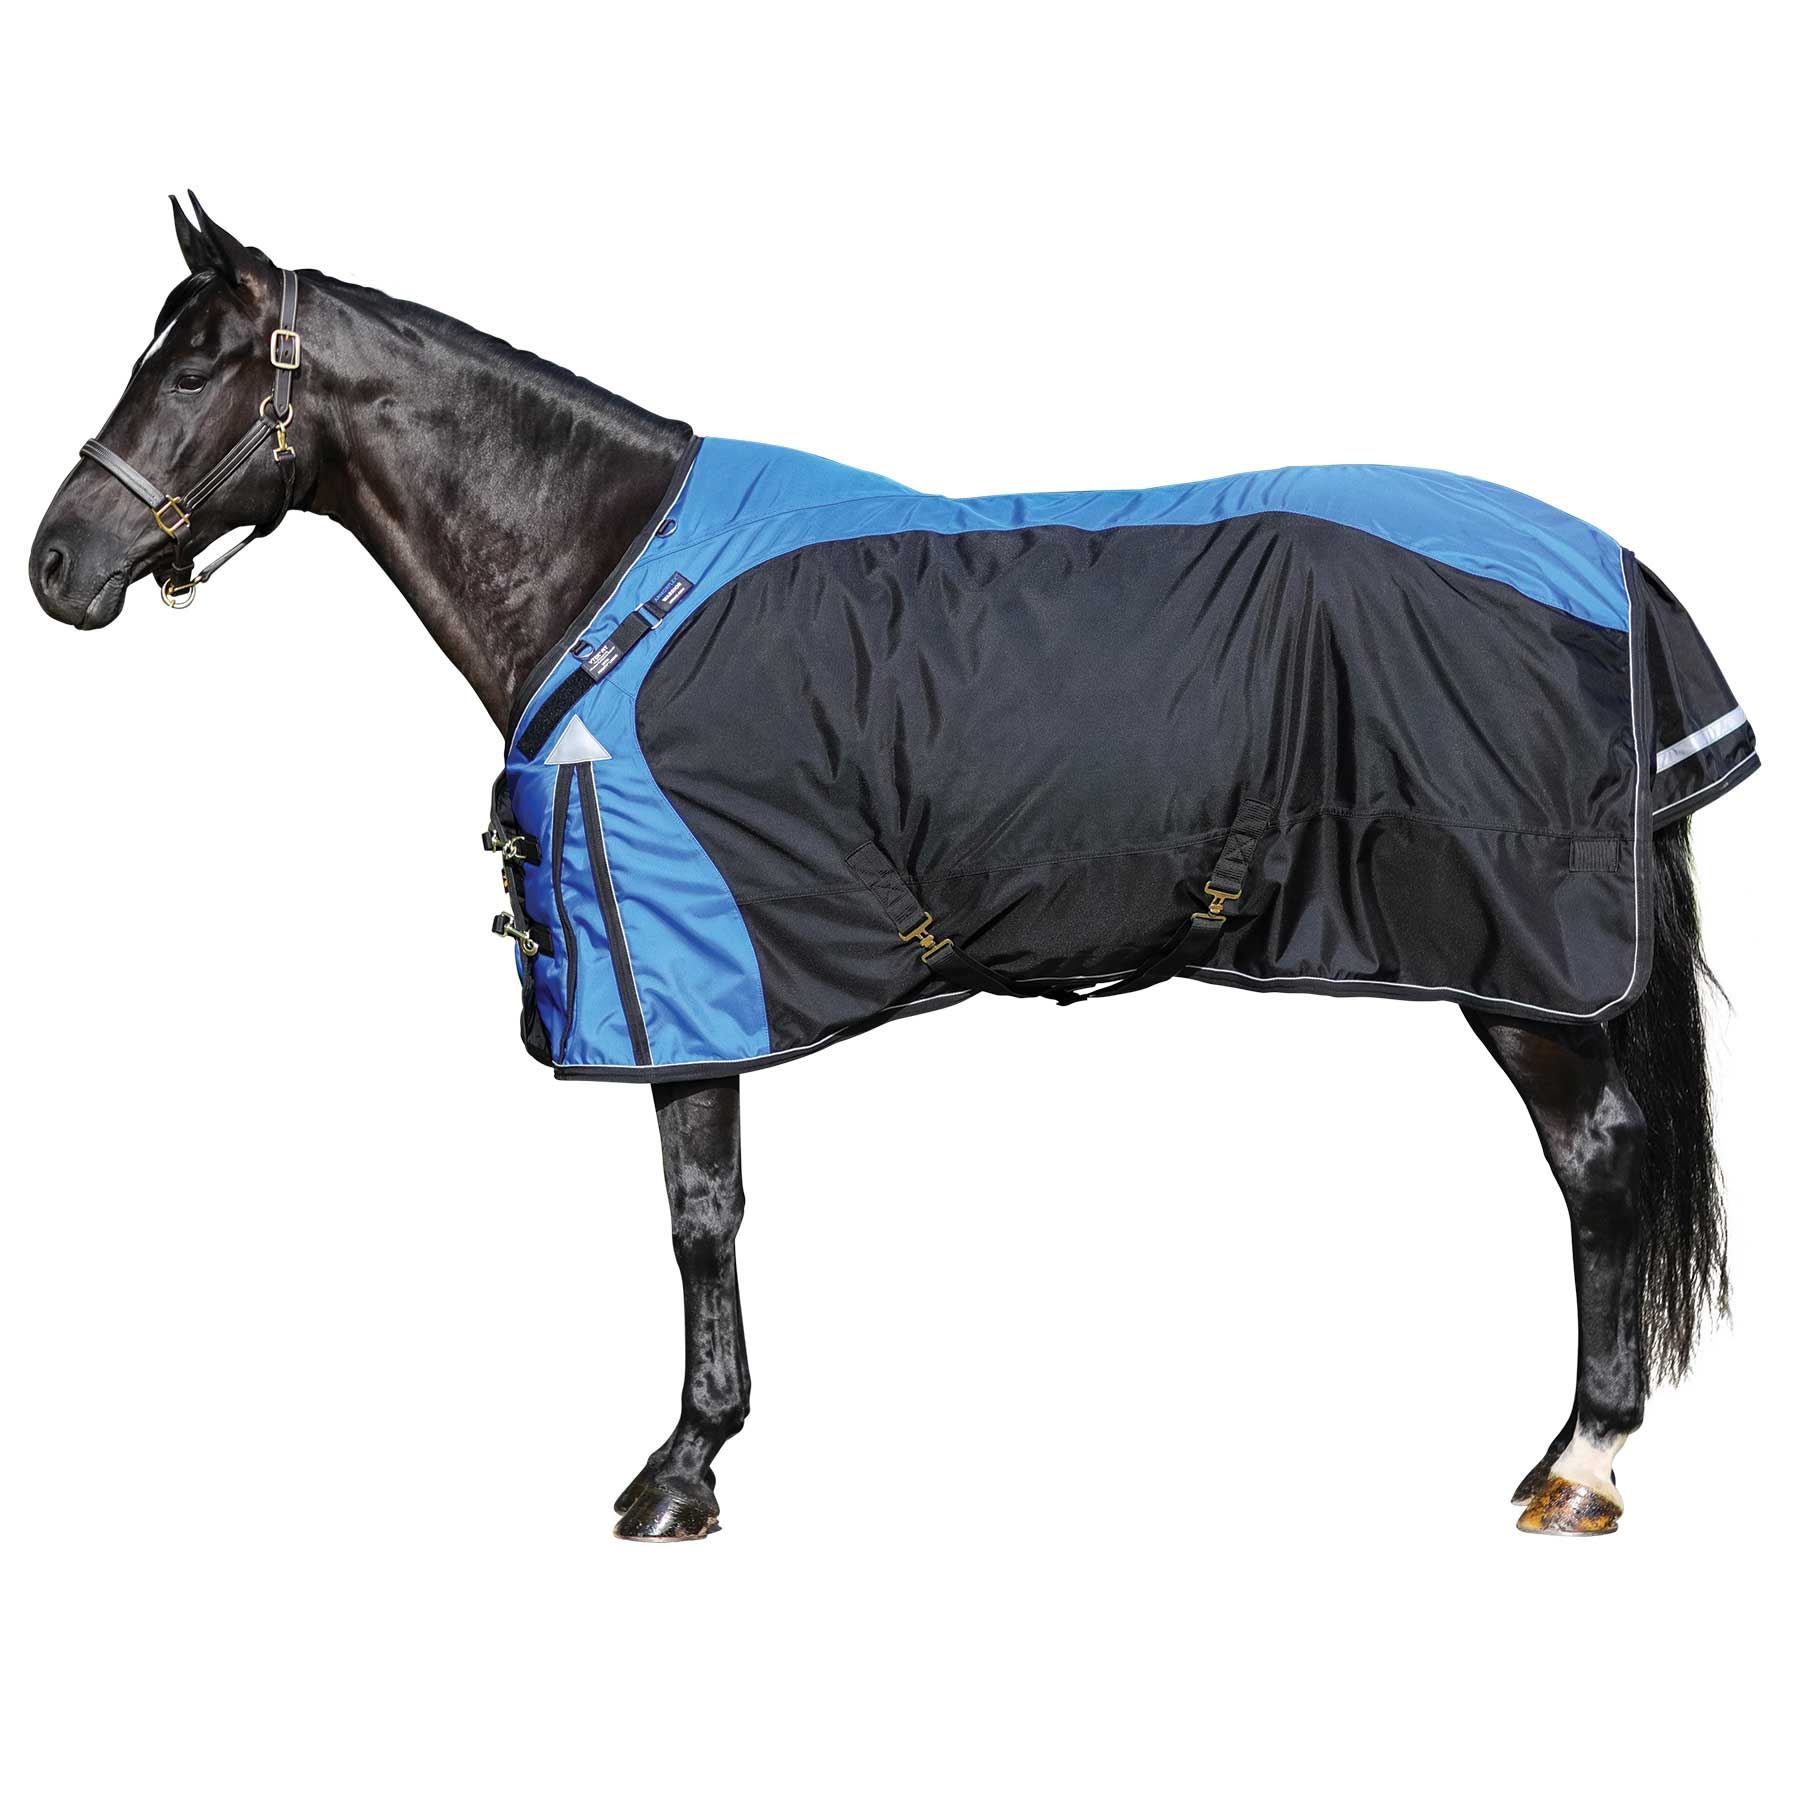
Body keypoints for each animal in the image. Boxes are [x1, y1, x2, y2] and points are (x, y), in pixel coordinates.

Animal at [29, 196, 1754, 1541]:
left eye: (193, 365)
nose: (56, 563)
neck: (614, 576)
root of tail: (1613, 569)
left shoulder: (691, 974)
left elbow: (700, 1216)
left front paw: (683, 1468)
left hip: (1521, 961)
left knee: (1598, 1156)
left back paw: (1584, 1463)